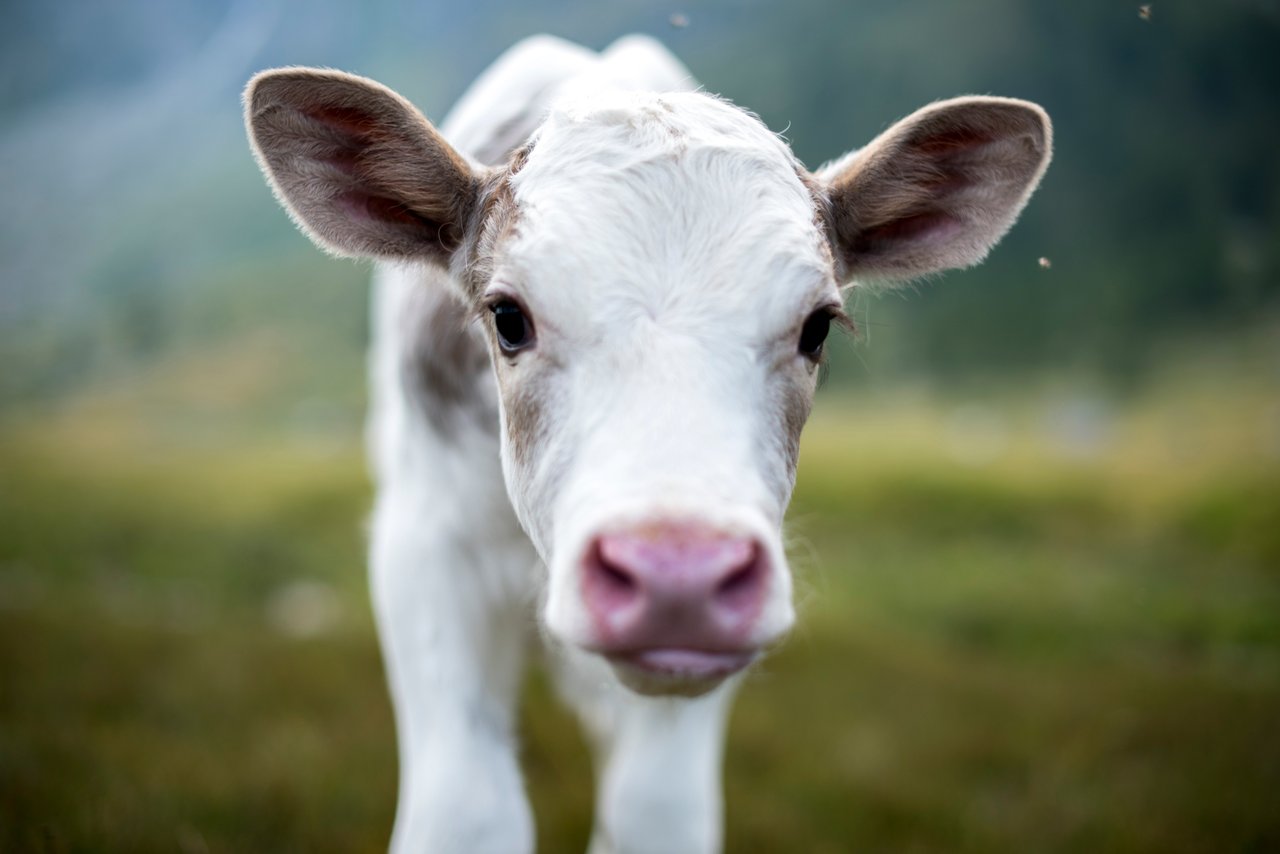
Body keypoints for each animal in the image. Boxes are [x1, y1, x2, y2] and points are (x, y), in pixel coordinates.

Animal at [241, 33, 1049, 854]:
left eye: (818, 326)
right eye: (507, 317)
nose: (677, 577)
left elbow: (655, 810)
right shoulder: (424, 547)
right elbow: (468, 809)